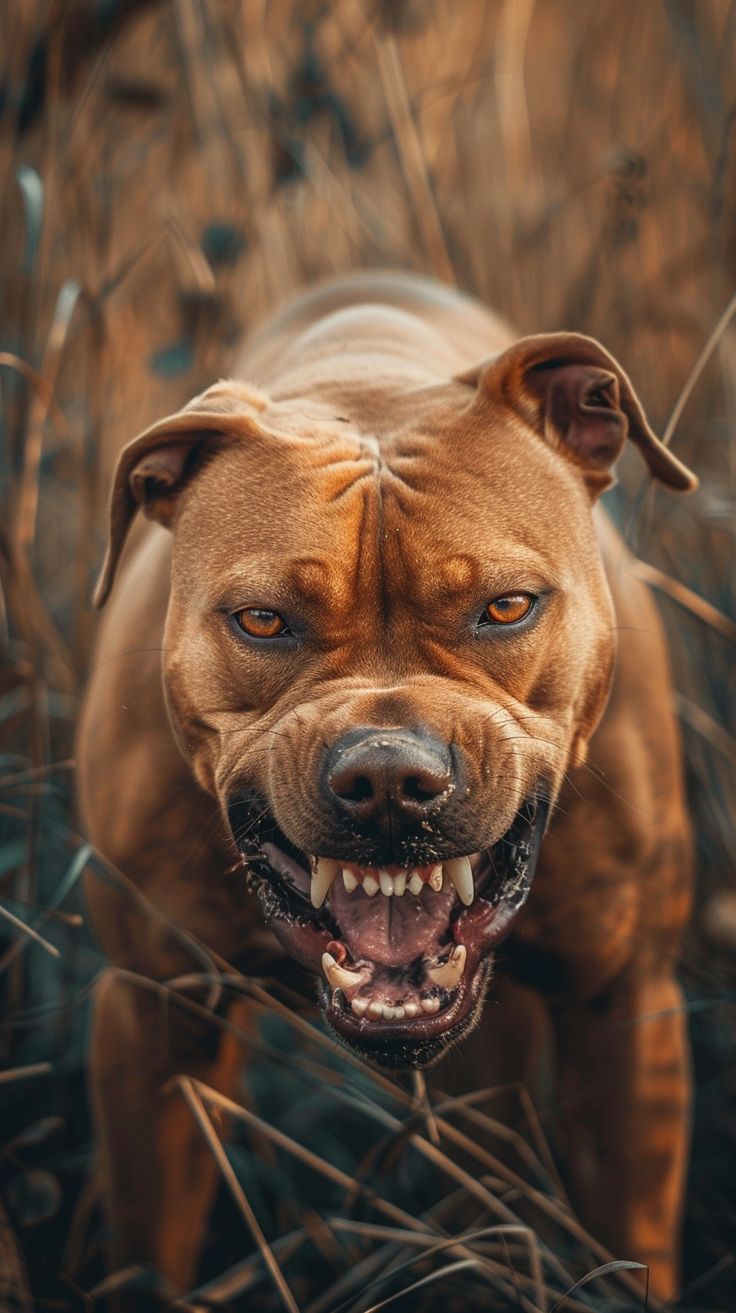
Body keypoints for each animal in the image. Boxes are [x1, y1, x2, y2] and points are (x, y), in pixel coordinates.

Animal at [77, 269, 697, 1302]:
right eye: (261, 620)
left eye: (507, 607)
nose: (389, 779)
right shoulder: (155, 1014)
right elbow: (147, 1250)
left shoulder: (621, 1009)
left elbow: (629, 1243)